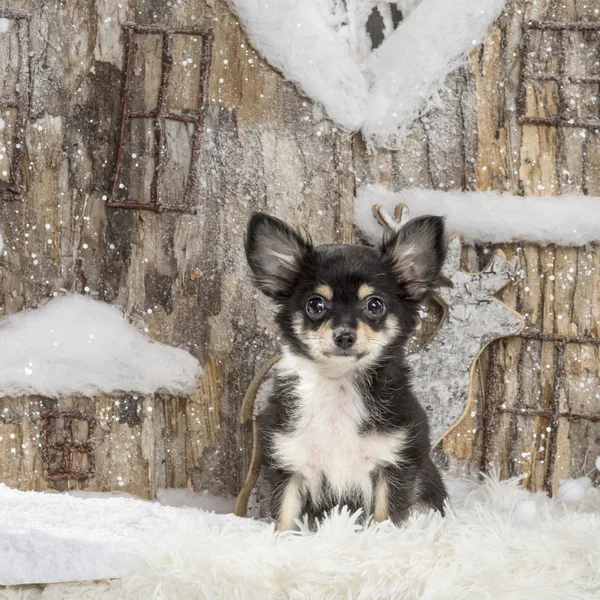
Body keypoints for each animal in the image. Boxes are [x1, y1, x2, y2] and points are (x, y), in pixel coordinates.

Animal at [244, 212, 446, 528]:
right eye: (316, 304)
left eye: (374, 305)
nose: (344, 336)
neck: (338, 384)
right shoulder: (286, 463)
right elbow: (283, 521)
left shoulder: (395, 464)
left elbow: (385, 519)